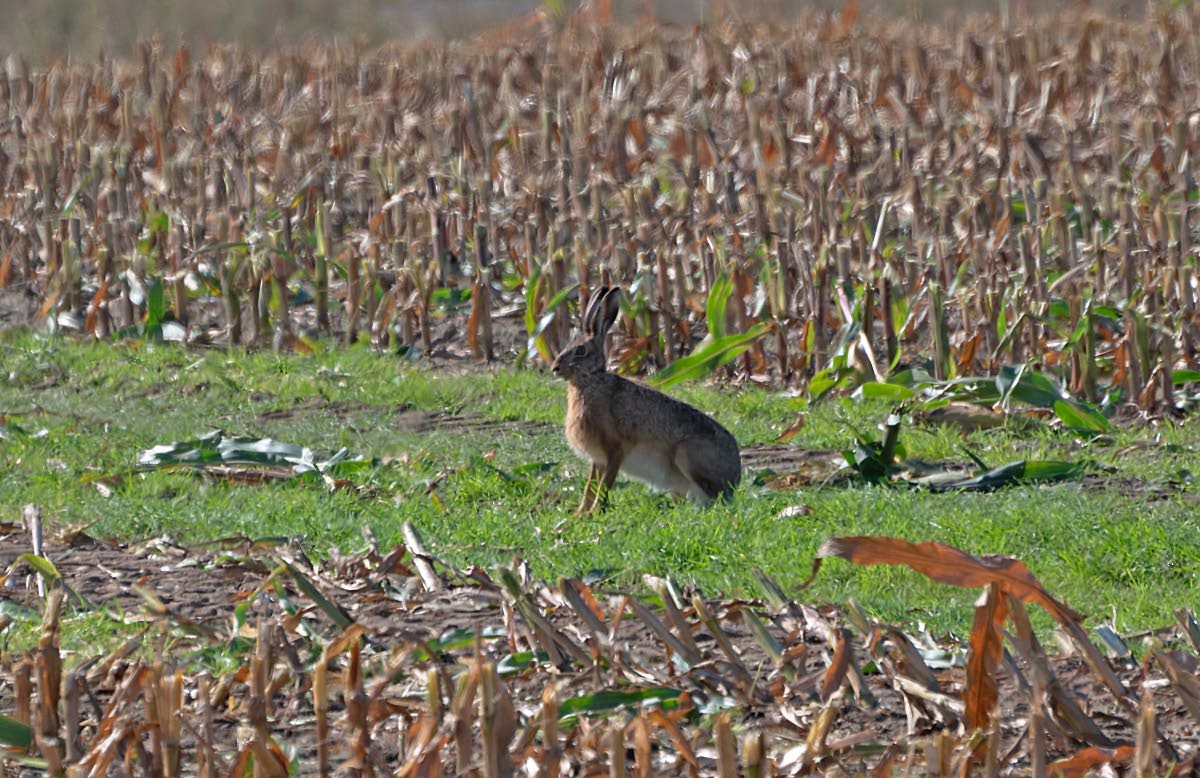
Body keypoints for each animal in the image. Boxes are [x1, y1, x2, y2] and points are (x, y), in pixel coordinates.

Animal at [551, 286, 742, 514]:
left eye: (580, 351)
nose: (554, 368)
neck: (590, 380)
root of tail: (735, 480)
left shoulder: (616, 449)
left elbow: (605, 484)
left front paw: (595, 512)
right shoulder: (597, 460)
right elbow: (590, 486)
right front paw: (581, 513)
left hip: (687, 454)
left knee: (712, 496)